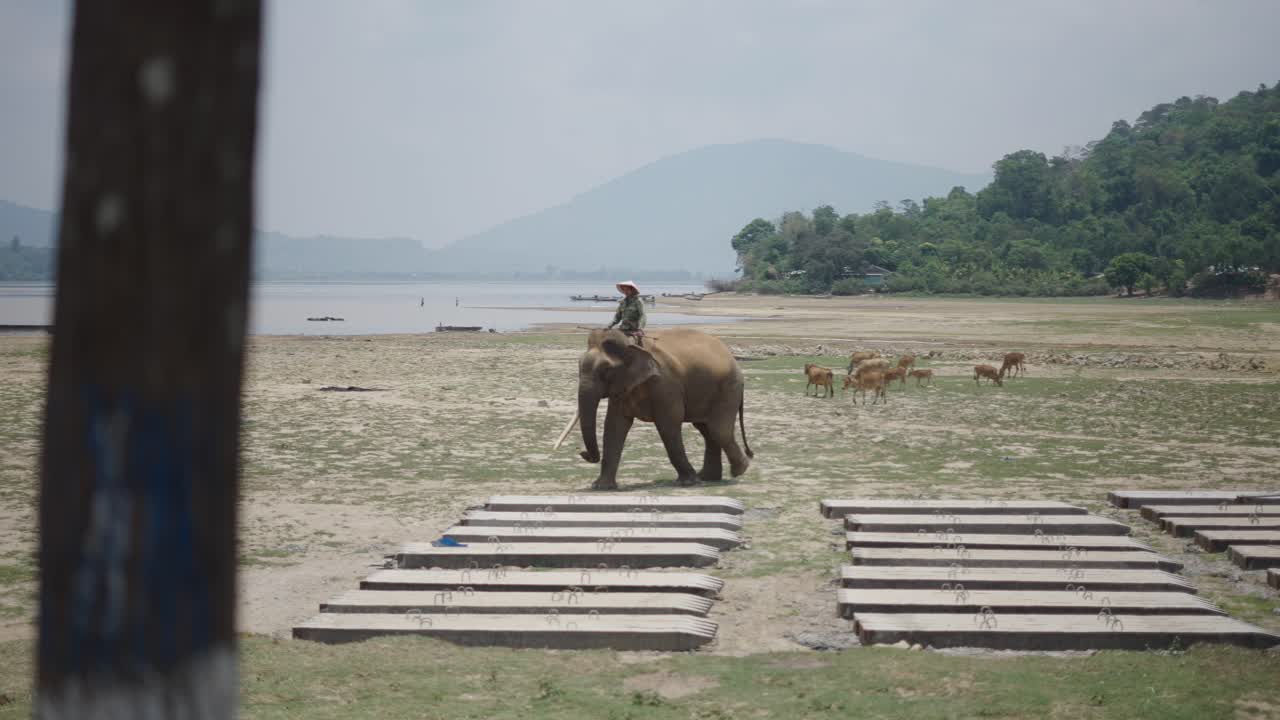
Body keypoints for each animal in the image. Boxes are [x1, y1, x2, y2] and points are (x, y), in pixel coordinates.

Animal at [577, 328, 754, 490]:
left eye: (606, 370)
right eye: (578, 366)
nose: (582, 453)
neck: (631, 343)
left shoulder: (665, 385)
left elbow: (668, 425)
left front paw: (688, 482)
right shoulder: (623, 388)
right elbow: (614, 426)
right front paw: (601, 487)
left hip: (728, 388)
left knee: (718, 430)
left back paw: (739, 470)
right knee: (706, 429)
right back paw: (708, 477)